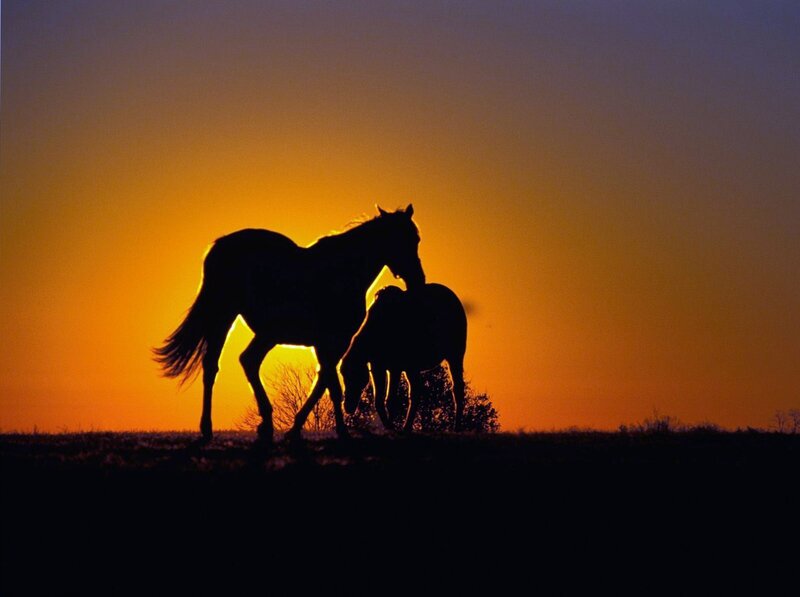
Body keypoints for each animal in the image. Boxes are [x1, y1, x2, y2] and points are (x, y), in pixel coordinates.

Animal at [154, 205, 425, 443]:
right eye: (404, 239)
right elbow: (332, 386)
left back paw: (262, 424)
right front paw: (339, 431)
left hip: (264, 333)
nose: (418, 280)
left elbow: (323, 383)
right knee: (218, 365)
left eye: (416, 239)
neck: (343, 273)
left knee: (243, 361)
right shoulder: (333, 341)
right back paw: (213, 428)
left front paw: (297, 428)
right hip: (227, 316)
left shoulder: (326, 344)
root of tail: (220, 246)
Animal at [340, 283, 467, 433]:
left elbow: (390, 400)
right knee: (416, 392)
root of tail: (455, 299)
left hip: (455, 354)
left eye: (355, 376)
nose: (347, 406)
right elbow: (379, 401)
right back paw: (407, 427)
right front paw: (389, 427)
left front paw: (392, 427)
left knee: (457, 388)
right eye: (343, 376)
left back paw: (456, 427)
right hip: (413, 367)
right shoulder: (378, 366)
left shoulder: (395, 367)